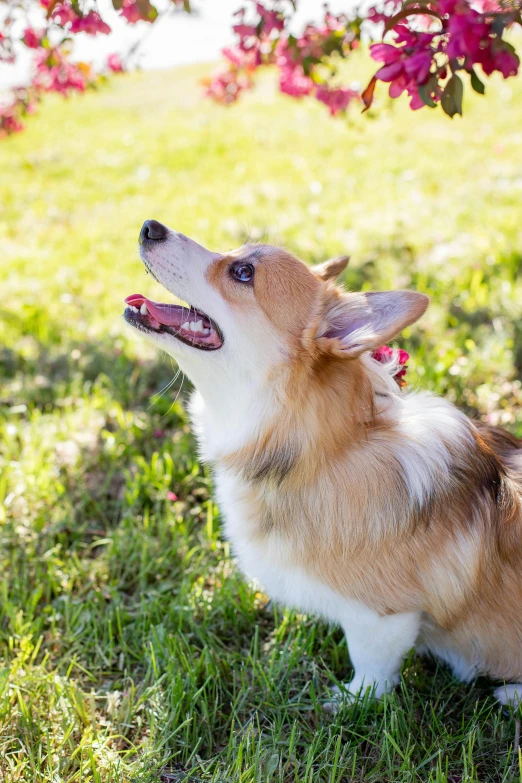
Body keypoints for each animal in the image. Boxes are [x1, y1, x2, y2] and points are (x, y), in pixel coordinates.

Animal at [124, 220, 520, 712]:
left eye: (242, 272)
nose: (149, 227)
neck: (319, 455)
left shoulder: (383, 616)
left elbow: (371, 668)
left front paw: (346, 701)